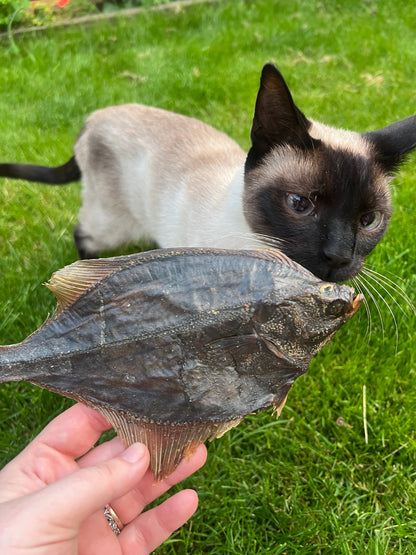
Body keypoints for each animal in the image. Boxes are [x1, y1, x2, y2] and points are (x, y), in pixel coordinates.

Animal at [0, 63, 416, 284]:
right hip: (113, 225)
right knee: (83, 232)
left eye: (369, 220)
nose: (338, 258)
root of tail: (93, 117)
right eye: (300, 204)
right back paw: (89, 267)